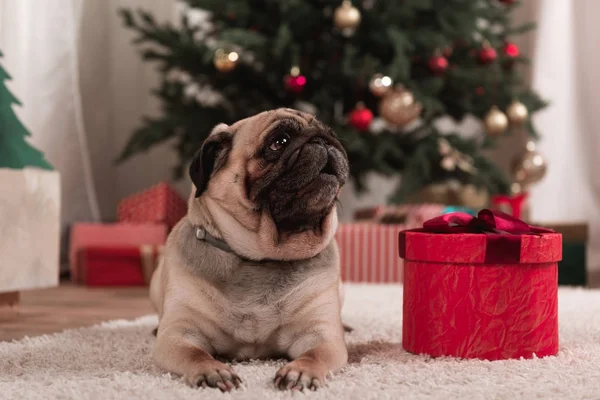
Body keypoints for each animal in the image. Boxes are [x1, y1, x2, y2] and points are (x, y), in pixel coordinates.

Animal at [149, 107, 352, 390]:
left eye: (330, 134)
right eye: (279, 142)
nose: (321, 140)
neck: (264, 256)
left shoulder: (321, 335)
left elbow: (315, 355)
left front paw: (300, 371)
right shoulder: (179, 334)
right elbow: (195, 354)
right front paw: (213, 371)